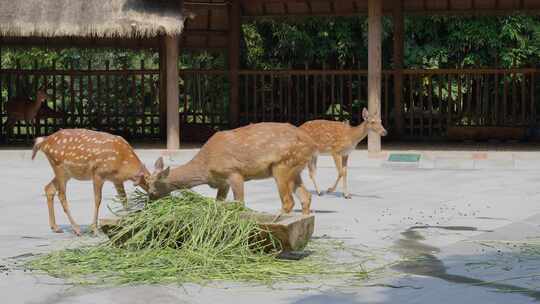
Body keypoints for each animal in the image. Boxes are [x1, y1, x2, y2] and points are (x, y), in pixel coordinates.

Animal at [146, 122, 318, 215]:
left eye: (152, 189)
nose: (149, 202)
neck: (206, 167)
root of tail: (312, 144)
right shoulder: (222, 182)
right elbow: (218, 202)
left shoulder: (233, 172)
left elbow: (240, 203)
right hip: (295, 169)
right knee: (306, 197)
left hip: (282, 165)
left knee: (288, 201)